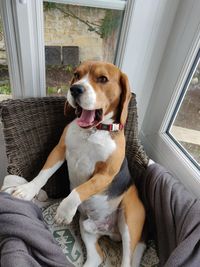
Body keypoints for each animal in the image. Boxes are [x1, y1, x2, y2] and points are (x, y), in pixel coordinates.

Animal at [12, 61, 145, 267]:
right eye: (76, 75)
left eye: (102, 79)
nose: (75, 89)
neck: (92, 131)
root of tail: (109, 231)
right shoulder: (59, 150)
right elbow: (43, 174)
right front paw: (27, 190)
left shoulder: (105, 174)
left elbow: (80, 189)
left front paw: (64, 210)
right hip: (85, 224)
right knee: (96, 256)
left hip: (129, 221)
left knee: (127, 261)